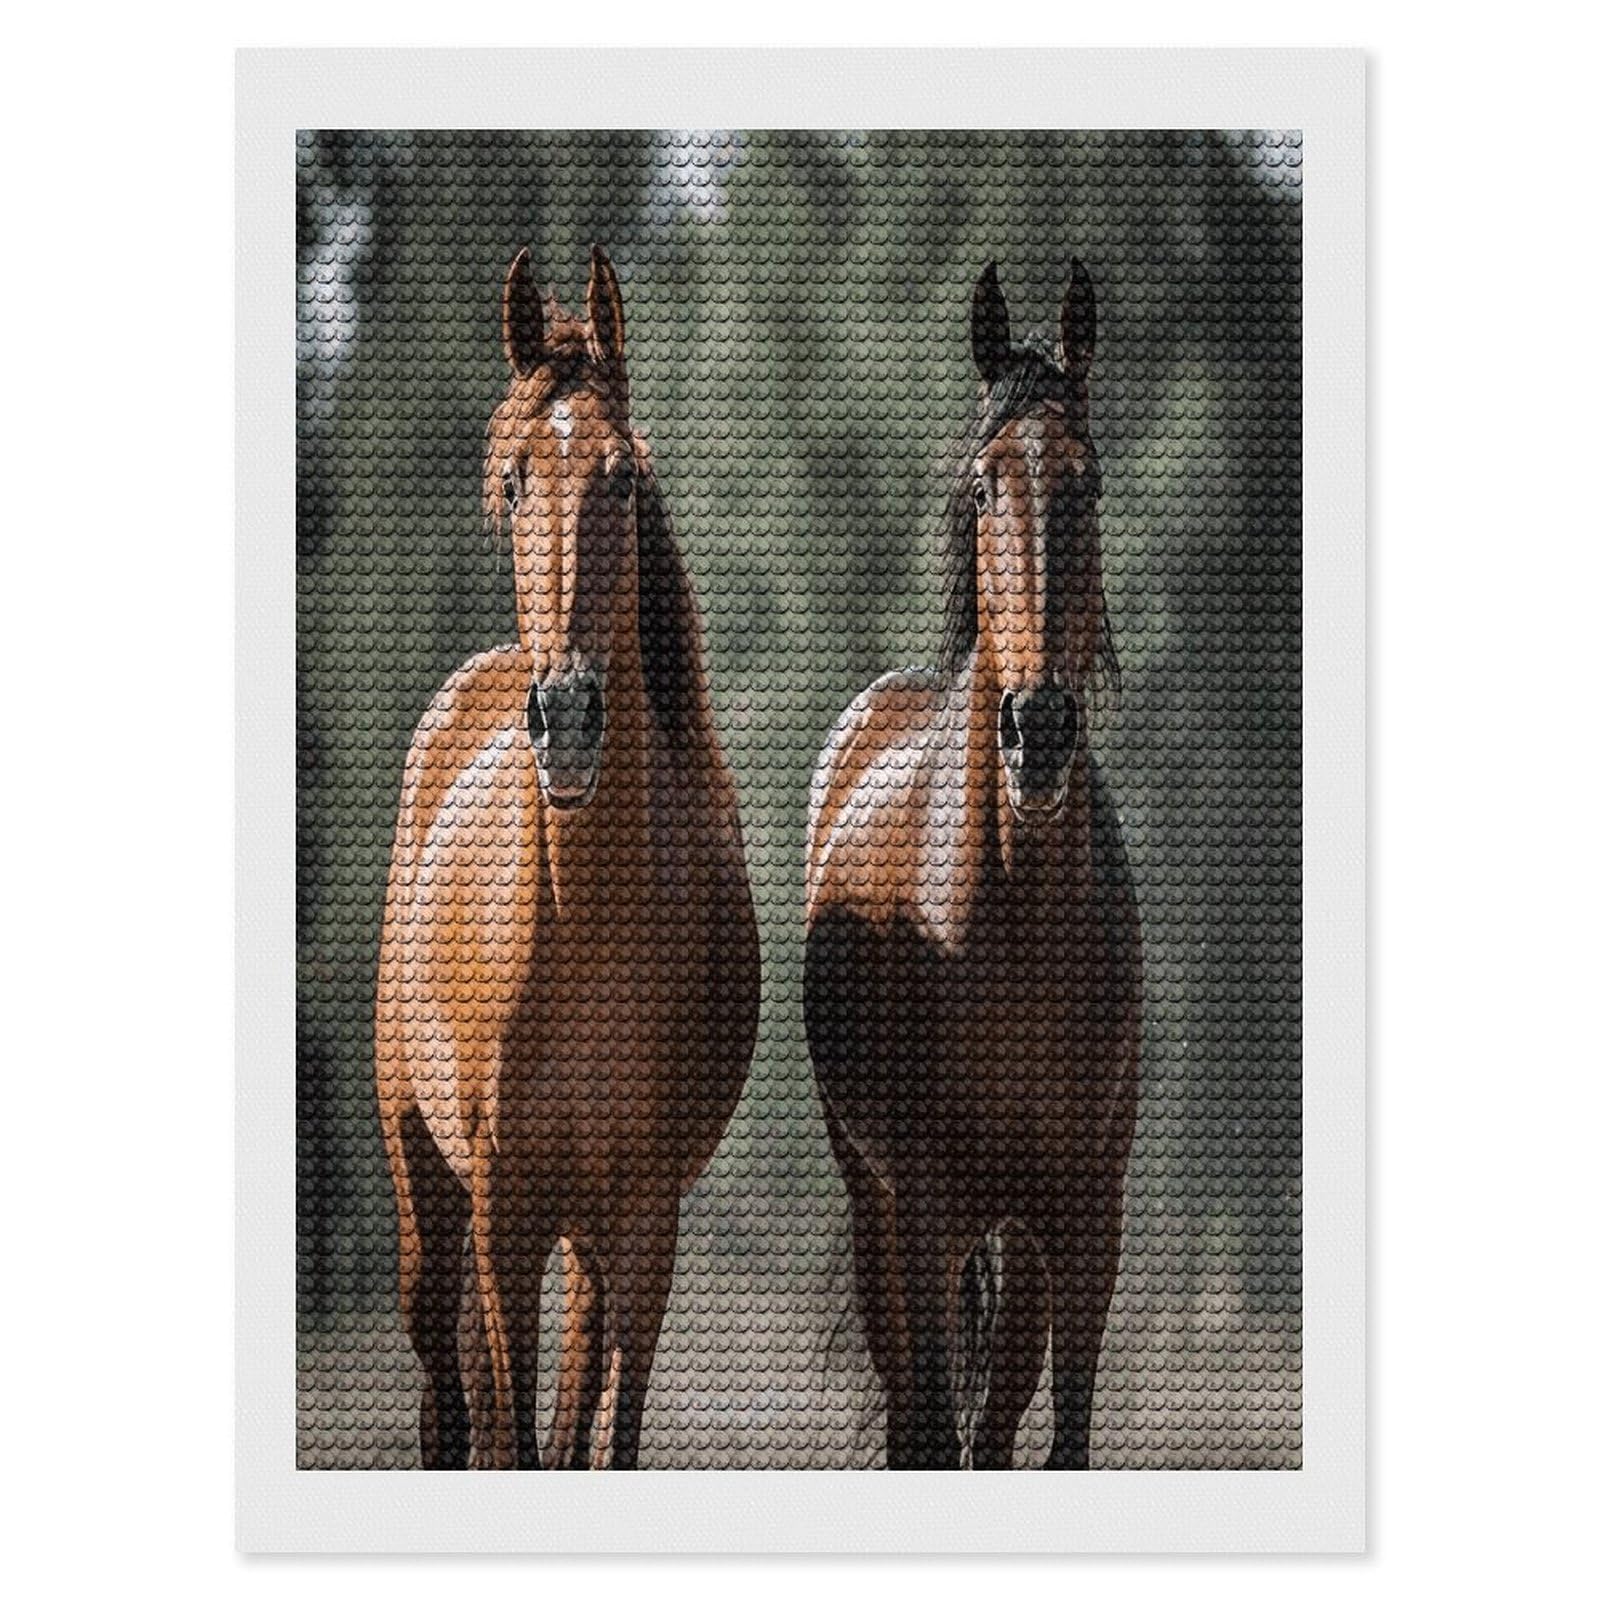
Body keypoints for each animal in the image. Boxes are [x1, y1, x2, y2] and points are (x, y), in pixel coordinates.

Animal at [375, 246, 761, 1470]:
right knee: (452, 1399)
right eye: (509, 482)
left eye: (623, 479)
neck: (587, 925)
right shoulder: (505, 1211)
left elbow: (602, 1434)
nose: (570, 719)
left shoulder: (639, 1225)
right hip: (429, 1195)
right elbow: (509, 1432)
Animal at [803, 261, 1142, 1470]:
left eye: (1087, 486)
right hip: (879, 1217)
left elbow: (1059, 1437)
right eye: (986, 487)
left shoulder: (1081, 1223)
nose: (1035, 727)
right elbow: (936, 1432)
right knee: (920, 1421)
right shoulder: (922, 1212)